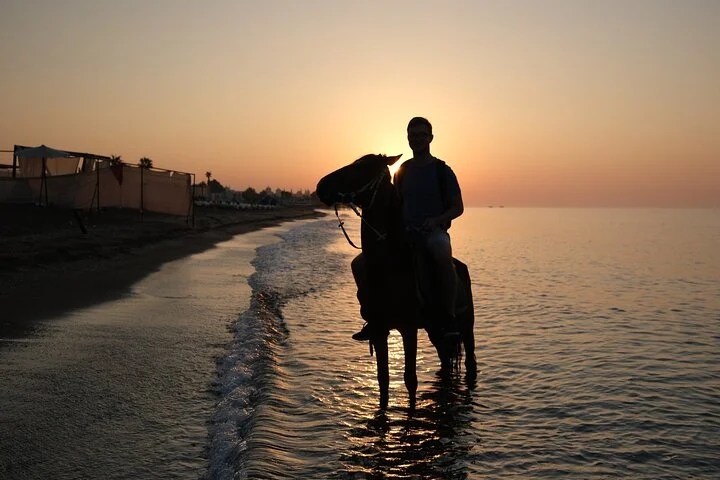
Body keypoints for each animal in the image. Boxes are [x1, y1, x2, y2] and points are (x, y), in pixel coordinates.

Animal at [316, 153, 476, 410]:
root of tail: (460, 267)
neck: (390, 264)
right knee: (444, 359)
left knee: (470, 360)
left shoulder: (408, 328)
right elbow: (383, 380)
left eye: (362, 169)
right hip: (433, 329)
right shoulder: (379, 330)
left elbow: (410, 380)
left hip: (466, 326)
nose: (321, 185)